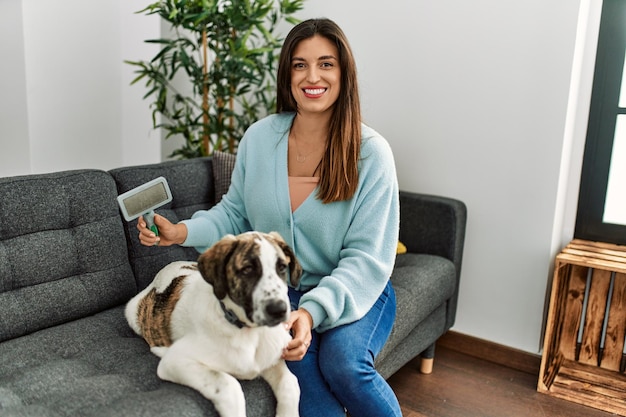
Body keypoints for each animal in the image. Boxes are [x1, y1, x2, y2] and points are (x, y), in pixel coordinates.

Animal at [124, 231, 300, 416]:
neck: (250, 333)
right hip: (131, 311)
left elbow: (291, 382)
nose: (279, 310)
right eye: (247, 269)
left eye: (282, 267)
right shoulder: (175, 361)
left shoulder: (272, 359)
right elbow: (228, 383)